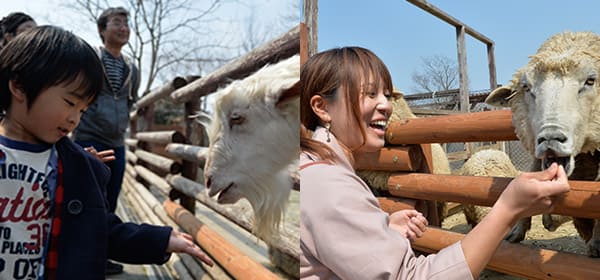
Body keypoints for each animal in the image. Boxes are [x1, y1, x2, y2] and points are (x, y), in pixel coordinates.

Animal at [486, 31, 600, 258]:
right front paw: (519, 229)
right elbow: (530, 172)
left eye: (591, 80)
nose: (550, 139)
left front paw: (596, 241)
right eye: (526, 87)